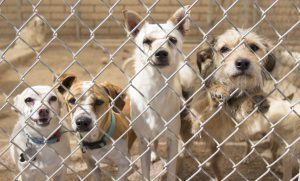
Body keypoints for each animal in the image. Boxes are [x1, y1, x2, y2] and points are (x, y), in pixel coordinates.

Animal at [123, 6, 191, 180]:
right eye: (146, 41)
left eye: (172, 40)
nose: (161, 53)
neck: (157, 87)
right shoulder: (143, 139)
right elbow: (145, 171)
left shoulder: (171, 139)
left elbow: (172, 171)